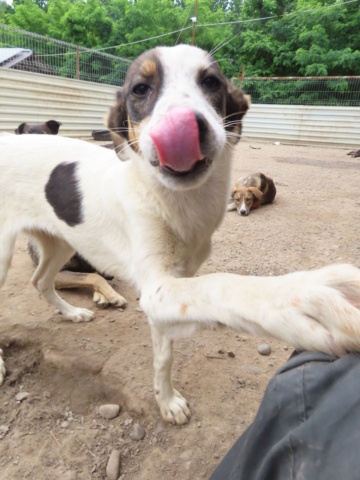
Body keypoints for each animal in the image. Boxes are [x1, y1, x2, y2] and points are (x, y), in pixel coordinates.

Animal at [0, 45, 360, 424]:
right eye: (140, 89)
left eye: (211, 81)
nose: (182, 127)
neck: (178, 204)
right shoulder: (158, 288)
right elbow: (224, 284)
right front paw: (303, 296)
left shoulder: (171, 290)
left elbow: (164, 357)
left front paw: (166, 400)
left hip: (60, 243)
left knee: (40, 281)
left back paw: (71, 312)